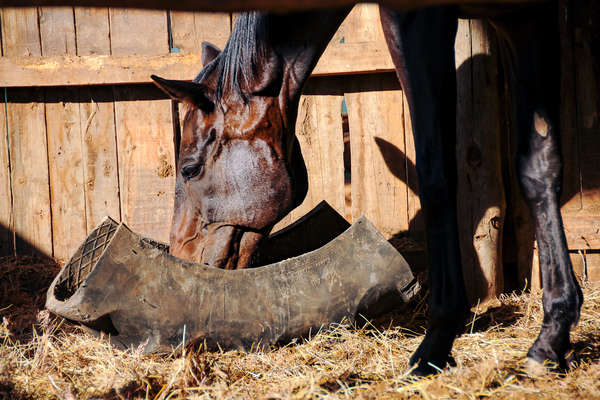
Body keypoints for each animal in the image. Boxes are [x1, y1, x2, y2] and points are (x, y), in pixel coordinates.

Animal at [148, 1, 584, 376]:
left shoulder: (420, 19)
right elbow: (538, 168)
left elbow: (437, 174)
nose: (180, 256)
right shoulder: (524, 17)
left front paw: (436, 343)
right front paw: (551, 337)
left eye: (189, 169)